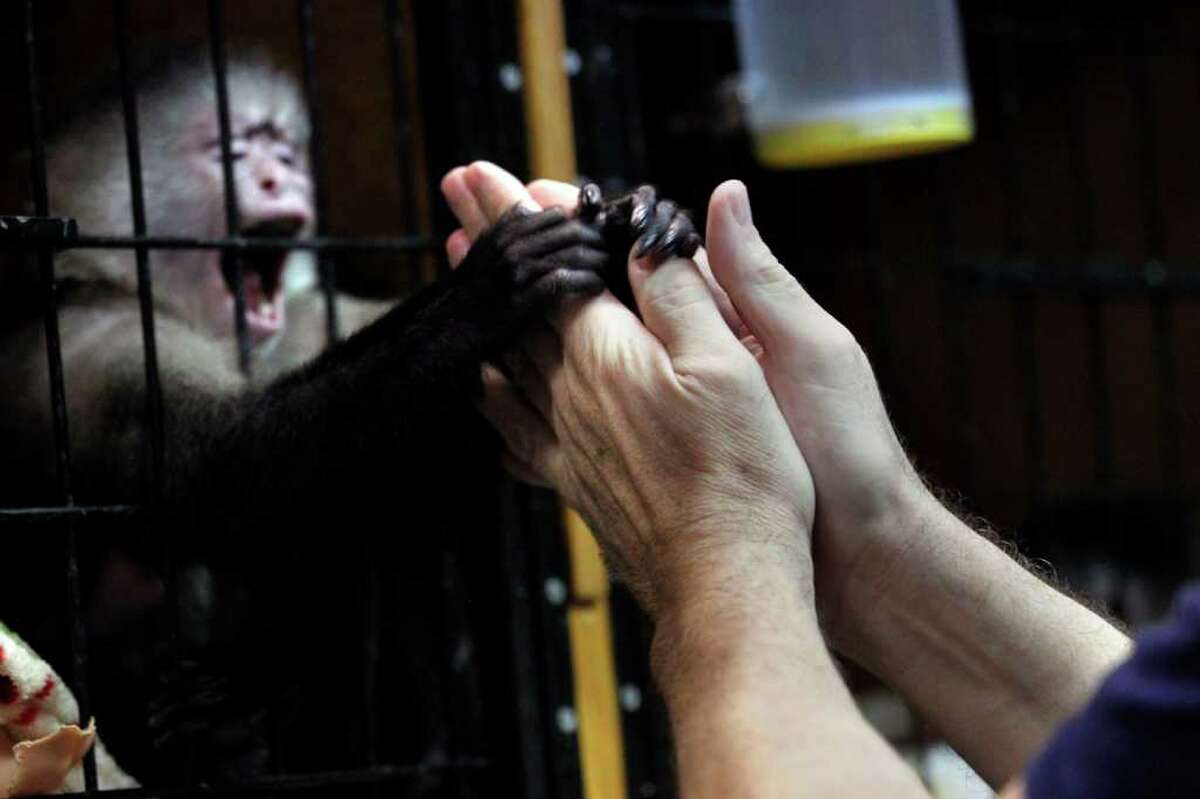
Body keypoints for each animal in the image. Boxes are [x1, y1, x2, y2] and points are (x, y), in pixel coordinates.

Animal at [0, 52, 699, 786]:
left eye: (284, 150)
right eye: (231, 152)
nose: (281, 176)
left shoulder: (310, 320)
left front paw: (633, 230)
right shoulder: (89, 338)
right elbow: (218, 470)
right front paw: (481, 291)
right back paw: (212, 742)